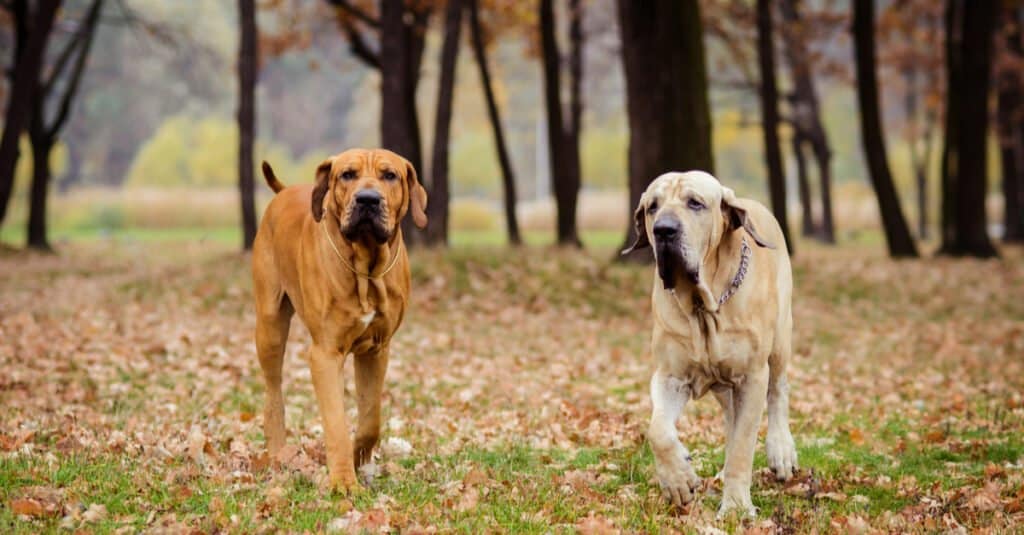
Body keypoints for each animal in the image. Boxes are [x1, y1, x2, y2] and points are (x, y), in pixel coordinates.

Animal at [252, 147, 428, 489]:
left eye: (390, 175)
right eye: (347, 174)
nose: (368, 200)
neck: (366, 268)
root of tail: (283, 192)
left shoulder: (377, 350)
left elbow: (371, 418)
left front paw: (360, 457)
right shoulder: (325, 354)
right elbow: (335, 422)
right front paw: (343, 482)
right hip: (269, 327)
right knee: (273, 391)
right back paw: (279, 453)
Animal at [622, 170, 798, 512]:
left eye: (695, 203)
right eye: (652, 207)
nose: (663, 230)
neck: (702, 305)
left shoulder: (752, 377)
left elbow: (744, 444)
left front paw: (737, 507)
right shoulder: (670, 377)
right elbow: (658, 430)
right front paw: (678, 478)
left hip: (780, 339)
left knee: (778, 391)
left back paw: (781, 449)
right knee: (730, 419)